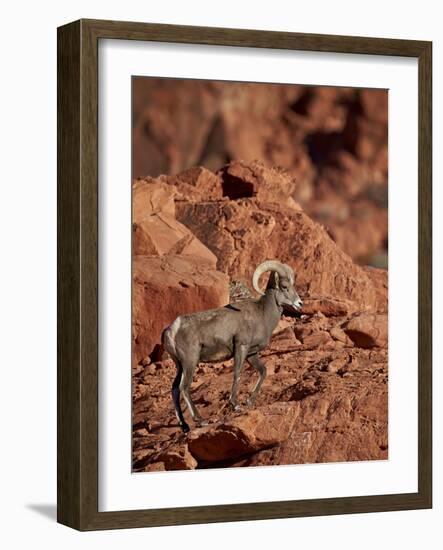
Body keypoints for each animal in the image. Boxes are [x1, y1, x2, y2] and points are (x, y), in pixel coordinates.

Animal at [163, 260, 306, 434]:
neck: (262, 315)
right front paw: (236, 404)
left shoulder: (252, 353)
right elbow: (237, 373)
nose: (300, 303)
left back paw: (184, 425)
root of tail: (172, 330)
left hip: (179, 365)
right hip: (190, 361)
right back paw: (201, 420)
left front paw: (249, 401)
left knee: (175, 389)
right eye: (284, 286)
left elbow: (263, 371)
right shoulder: (241, 347)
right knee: (184, 387)